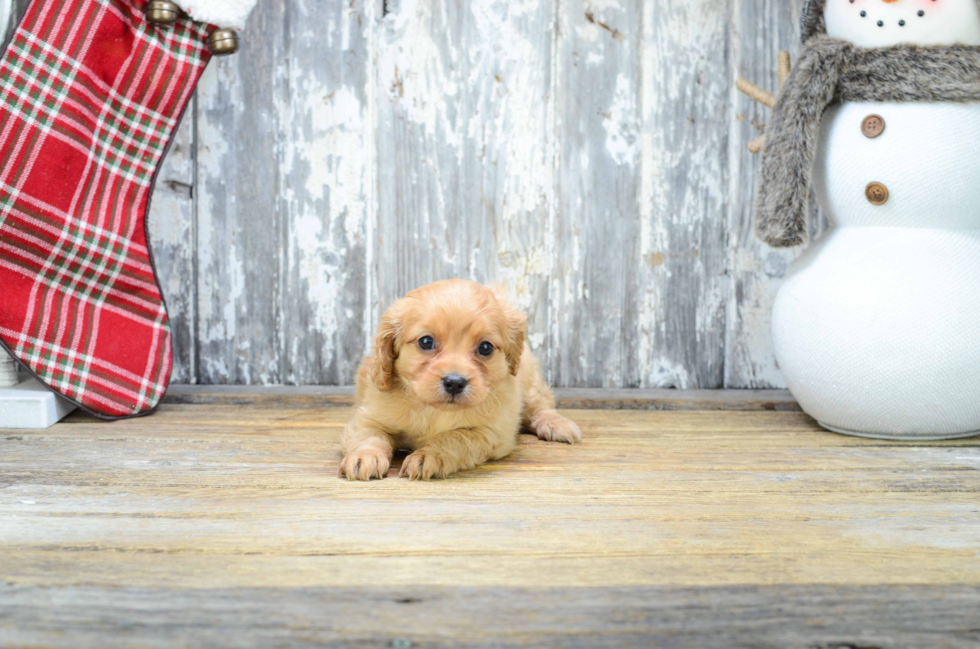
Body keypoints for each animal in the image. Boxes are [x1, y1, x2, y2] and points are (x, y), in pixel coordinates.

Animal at [340, 278, 580, 480]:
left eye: (485, 347)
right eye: (426, 342)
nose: (455, 383)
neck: (435, 411)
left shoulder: (490, 432)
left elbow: (456, 438)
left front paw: (429, 455)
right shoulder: (369, 416)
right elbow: (370, 436)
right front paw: (364, 457)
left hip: (530, 381)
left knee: (540, 406)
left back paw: (557, 424)